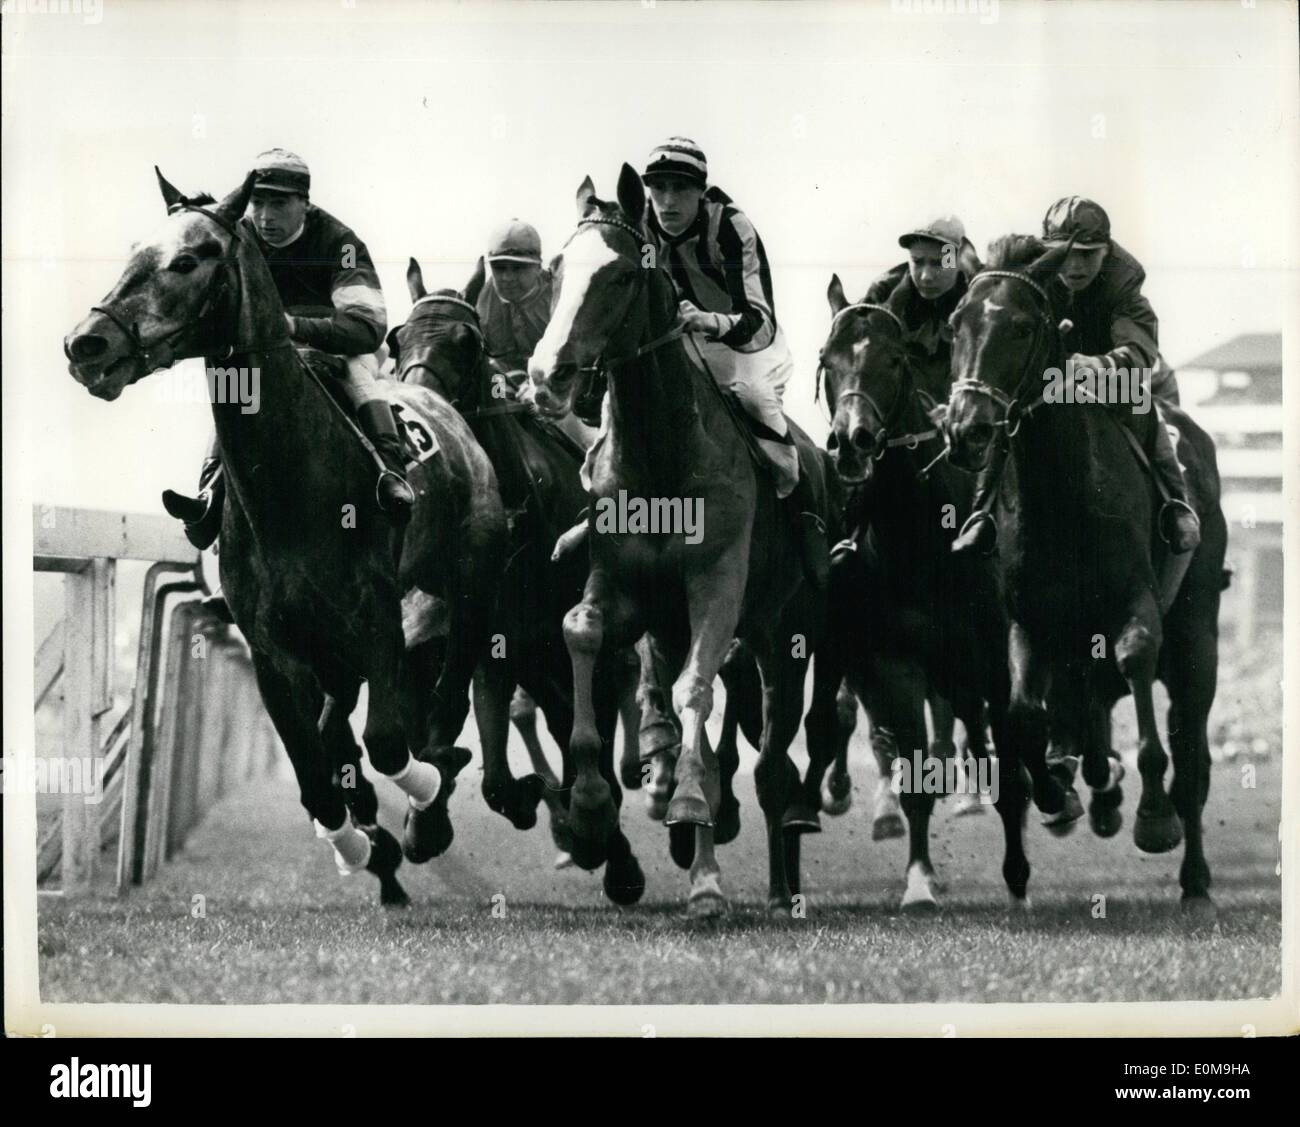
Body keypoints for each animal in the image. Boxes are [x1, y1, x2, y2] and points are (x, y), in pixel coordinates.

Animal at [63, 170, 506, 909]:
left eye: (191, 259)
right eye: (134, 250)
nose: (86, 342)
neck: (292, 484)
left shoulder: (378, 617)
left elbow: (389, 743)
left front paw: (418, 798)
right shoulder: (272, 646)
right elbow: (313, 773)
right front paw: (361, 846)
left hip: (467, 576)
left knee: (448, 690)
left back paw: (435, 792)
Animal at [390, 262, 644, 899]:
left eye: (467, 343)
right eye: (396, 339)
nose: (418, 414)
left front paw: (586, 825)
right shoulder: (476, 636)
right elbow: (479, 755)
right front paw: (436, 818)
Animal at [522, 170, 826, 925]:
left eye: (622, 275)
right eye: (557, 268)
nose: (547, 377)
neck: (663, 452)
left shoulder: (717, 583)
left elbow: (696, 691)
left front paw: (699, 842)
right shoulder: (623, 587)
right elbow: (580, 631)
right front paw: (592, 808)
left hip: (787, 636)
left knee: (773, 763)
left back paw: (778, 885)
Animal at [811, 278, 1055, 909]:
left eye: (893, 360)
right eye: (827, 360)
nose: (852, 442)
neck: (922, 539)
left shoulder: (994, 659)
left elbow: (1011, 764)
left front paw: (1018, 879)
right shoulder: (895, 661)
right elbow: (913, 767)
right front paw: (919, 879)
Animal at [946, 235, 1227, 925]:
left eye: (1022, 326)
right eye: (955, 323)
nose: (966, 428)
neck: (1060, 492)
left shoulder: (1136, 605)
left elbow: (1137, 668)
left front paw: (1153, 817)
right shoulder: (1027, 623)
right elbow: (1023, 717)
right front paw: (1056, 793)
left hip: (1197, 636)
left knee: (1192, 756)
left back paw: (1194, 876)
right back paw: (1090, 785)